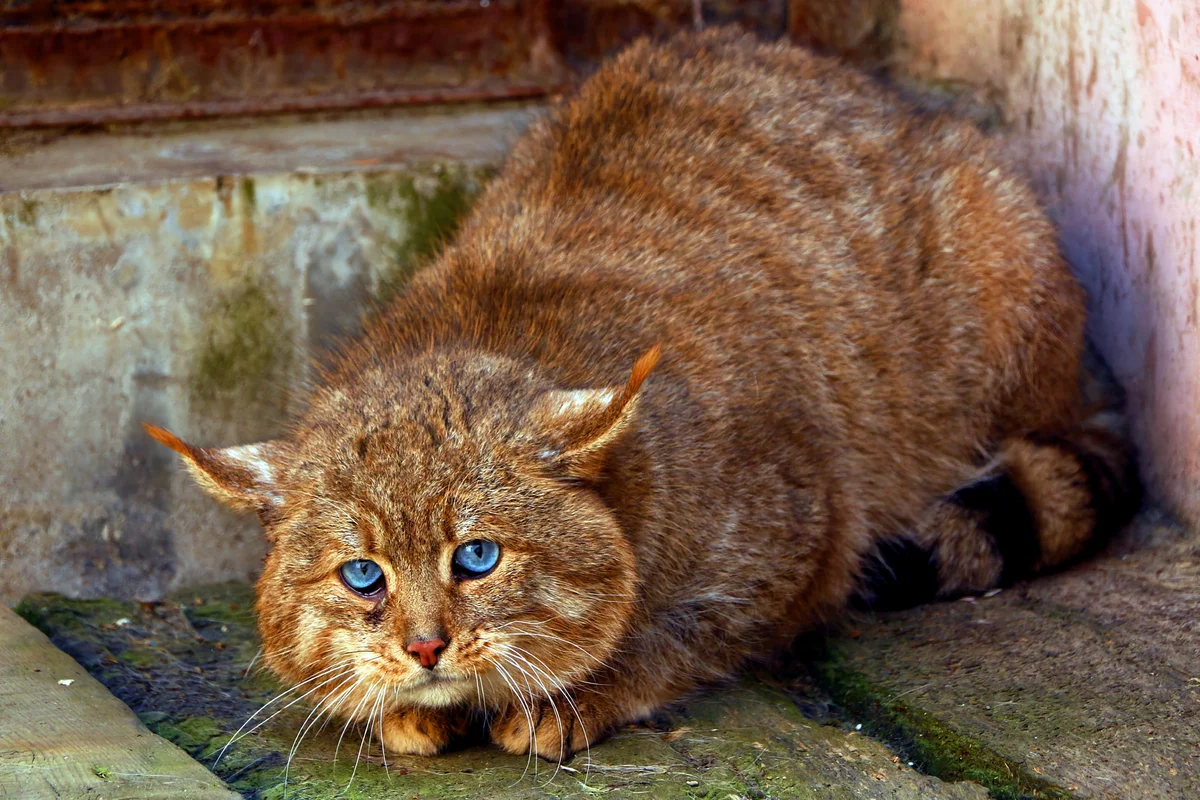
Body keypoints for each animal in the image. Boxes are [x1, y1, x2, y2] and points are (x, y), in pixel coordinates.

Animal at [145, 26, 1137, 762]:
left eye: (478, 557)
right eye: (363, 575)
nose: (425, 647)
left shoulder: (805, 534)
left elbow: (682, 638)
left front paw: (580, 694)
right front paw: (404, 705)